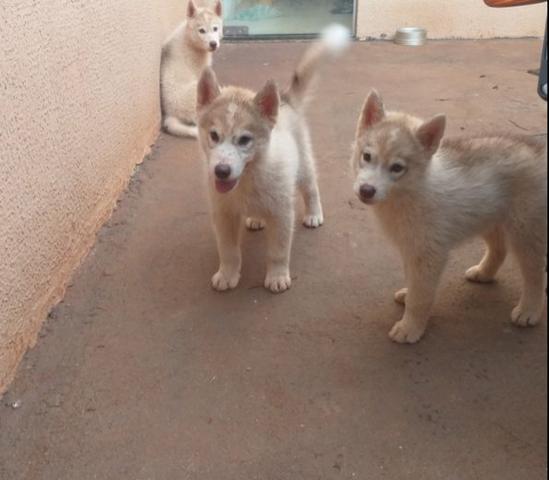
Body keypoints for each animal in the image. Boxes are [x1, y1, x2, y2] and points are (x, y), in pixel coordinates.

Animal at [198, 25, 352, 292]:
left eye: (244, 140)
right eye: (214, 135)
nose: (221, 171)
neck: (248, 179)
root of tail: (285, 102)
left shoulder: (282, 214)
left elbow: (277, 251)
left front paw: (277, 276)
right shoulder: (223, 214)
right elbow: (228, 251)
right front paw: (227, 273)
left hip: (303, 165)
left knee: (311, 188)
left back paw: (314, 213)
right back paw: (255, 220)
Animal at [348, 90, 544, 344]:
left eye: (397, 168)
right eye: (367, 156)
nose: (366, 190)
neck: (412, 192)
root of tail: (539, 152)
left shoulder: (430, 253)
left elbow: (420, 297)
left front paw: (410, 327)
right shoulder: (412, 248)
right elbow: (413, 282)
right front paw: (408, 295)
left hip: (525, 230)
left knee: (534, 272)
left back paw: (529, 310)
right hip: (490, 218)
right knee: (499, 249)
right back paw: (483, 273)